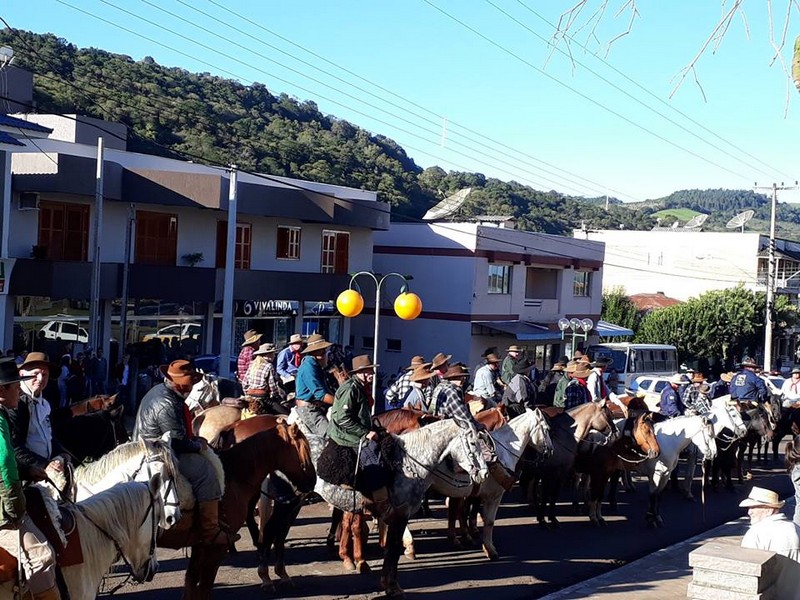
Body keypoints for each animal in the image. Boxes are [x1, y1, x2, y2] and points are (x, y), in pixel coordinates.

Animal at [157, 421, 316, 600]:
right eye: (305, 448)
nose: (312, 481)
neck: (231, 476)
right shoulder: (215, 548)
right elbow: (204, 588)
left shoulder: (200, 545)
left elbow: (191, 582)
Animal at [432, 408, 553, 560]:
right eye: (547, 429)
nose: (550, 451)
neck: (503, 453)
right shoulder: (494, 496)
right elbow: (489, 521)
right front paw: (490, 550)